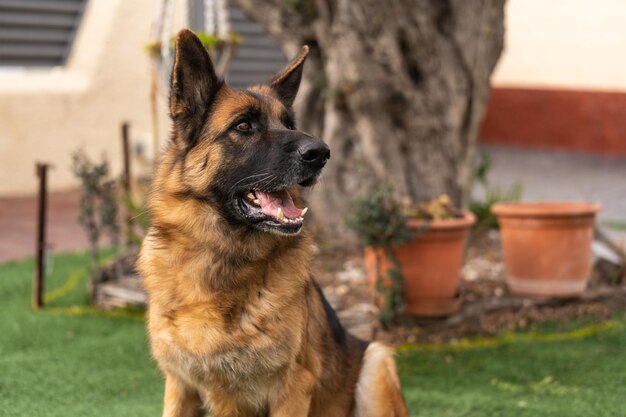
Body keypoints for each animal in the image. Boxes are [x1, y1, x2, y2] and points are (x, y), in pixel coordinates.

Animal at [138, 30, 410, 416]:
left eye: (290, 125)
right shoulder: (179, 386)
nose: (321, 153)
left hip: (377, 359)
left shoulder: (291, 389)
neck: (222, 261)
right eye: (244, 125)